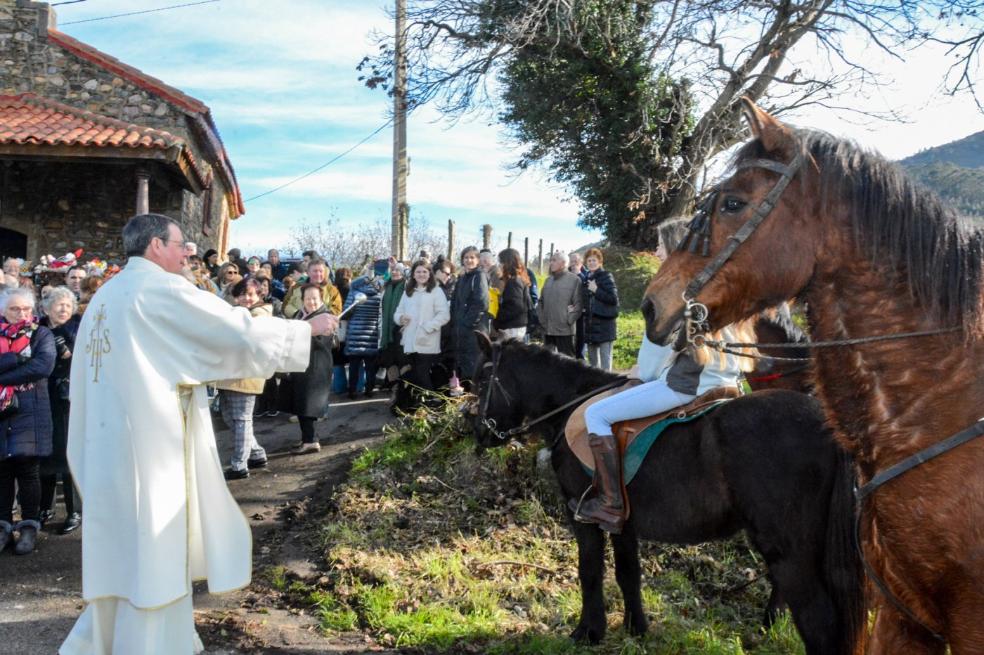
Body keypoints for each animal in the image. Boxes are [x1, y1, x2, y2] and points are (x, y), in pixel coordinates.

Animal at [468, 338, 860, 655]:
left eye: (483, 381)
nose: (477, 433)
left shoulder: (581, 517)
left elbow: (590, 570)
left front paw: (588, 632)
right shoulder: (622, 521)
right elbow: (628, 573)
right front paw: (635, 629)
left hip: (790, 552)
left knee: (817, 620)